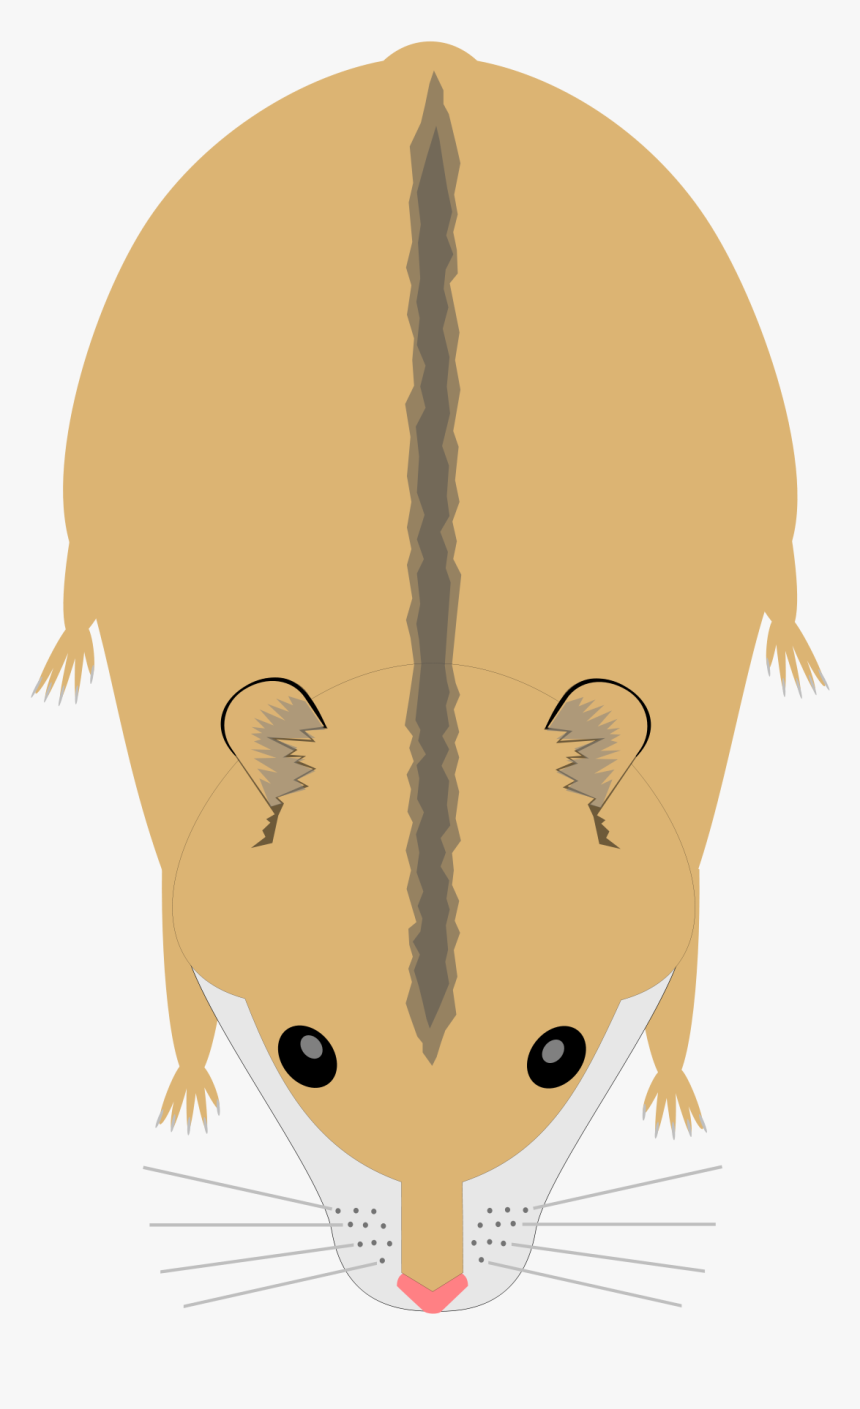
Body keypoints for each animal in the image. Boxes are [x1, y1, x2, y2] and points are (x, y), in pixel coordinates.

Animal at [34, 42, 824, 1312]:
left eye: (558, 1053)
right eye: (304, 1052)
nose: (432, 1292)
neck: (431, 689)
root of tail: (429, 55)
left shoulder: (679, 852)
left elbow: (685, 973)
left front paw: (671, 1099)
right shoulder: (181, 854)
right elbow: (174, 969)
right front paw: (188, 1096)